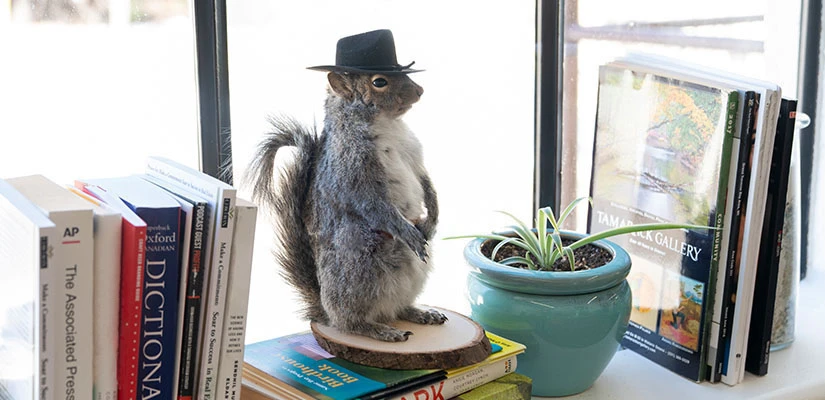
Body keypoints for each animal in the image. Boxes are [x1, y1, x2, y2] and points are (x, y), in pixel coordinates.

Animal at [246, 28, 444, 340]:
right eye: (379, 82)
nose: (420, 90)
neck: (388, 124)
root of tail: (325, 311)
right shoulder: (352, 172)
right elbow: (373, 204)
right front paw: (407, 231)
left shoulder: (414, 156)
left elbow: (426, 182)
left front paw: (433, 218)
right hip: (360, 266)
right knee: (350, 322)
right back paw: (380, 330)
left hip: (413, 274)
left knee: (398, 309)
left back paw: (420, 313)